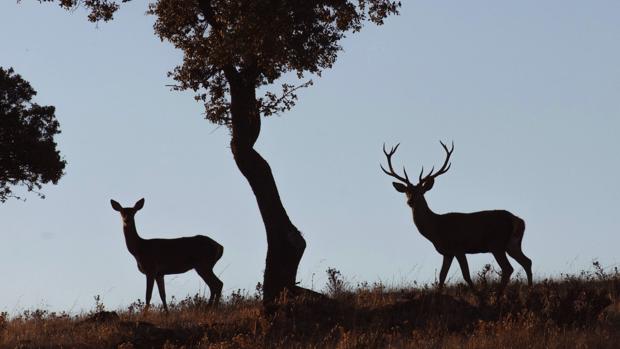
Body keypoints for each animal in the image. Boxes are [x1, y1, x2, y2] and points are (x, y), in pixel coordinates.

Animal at [382, 141, 532, 290]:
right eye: (407, 192)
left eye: (421, 192)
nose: (410, 201)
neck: (436, 227)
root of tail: (517, 220)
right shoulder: (447, 253)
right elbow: (441, 277)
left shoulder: (459, 247)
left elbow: (466, 275)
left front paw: (478, 295)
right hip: (512, 244)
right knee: (527, 261)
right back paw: (529, 289)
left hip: (496, 243)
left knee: (508, 268)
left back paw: (498, 294)